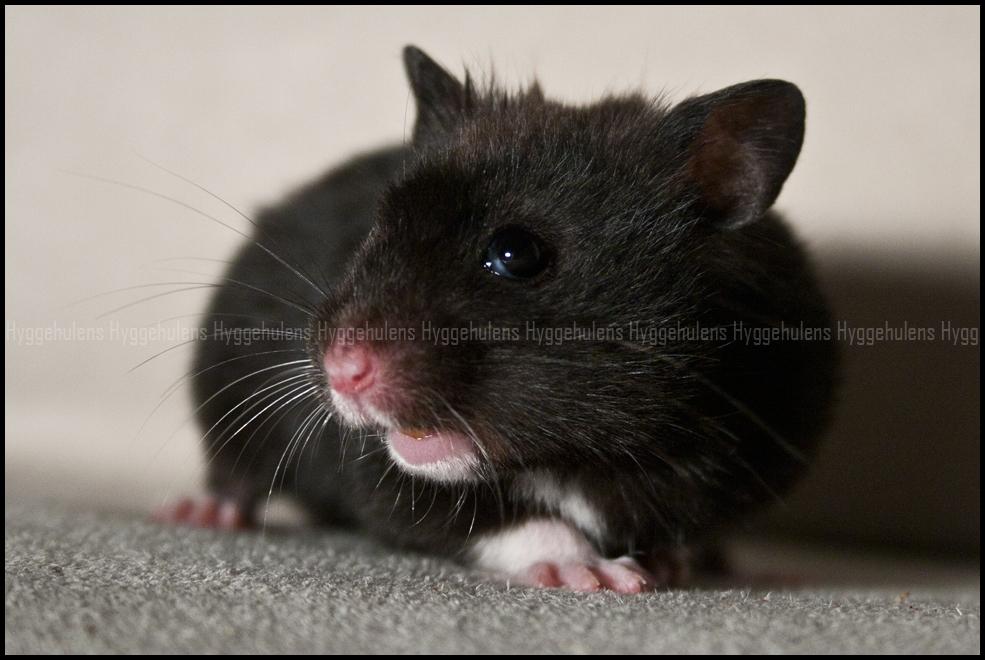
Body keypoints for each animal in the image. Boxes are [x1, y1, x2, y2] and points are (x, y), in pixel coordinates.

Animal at [157, 46, 838, 593]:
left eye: (517, 254)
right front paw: (598, 576)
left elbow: (680, 529)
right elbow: (508, 520)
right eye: (377, 231)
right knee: (234, 470)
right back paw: (199, 514)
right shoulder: (382, 478)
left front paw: (668, 565)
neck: (578, 452)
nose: (341, 372)